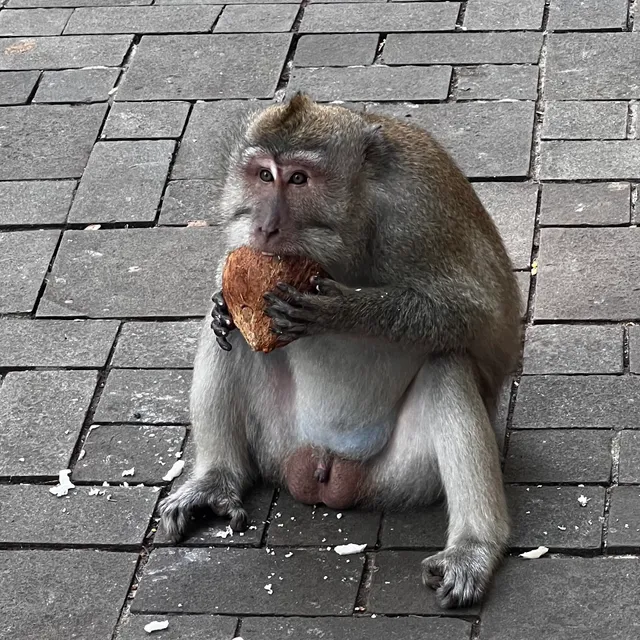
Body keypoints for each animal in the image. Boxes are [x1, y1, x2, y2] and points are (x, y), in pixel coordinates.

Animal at [159, 93, 522, 609]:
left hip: (403, 477)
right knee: (235, 341)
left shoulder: (418, 213)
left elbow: (475, 314)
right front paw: (220, 302)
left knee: (447, 362)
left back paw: (475, 546)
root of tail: (324, 470)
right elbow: (231, 294)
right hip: (278, 444)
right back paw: (216, 477)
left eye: (299, 179)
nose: (266, 226)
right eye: (264, 175)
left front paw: (342, 311)